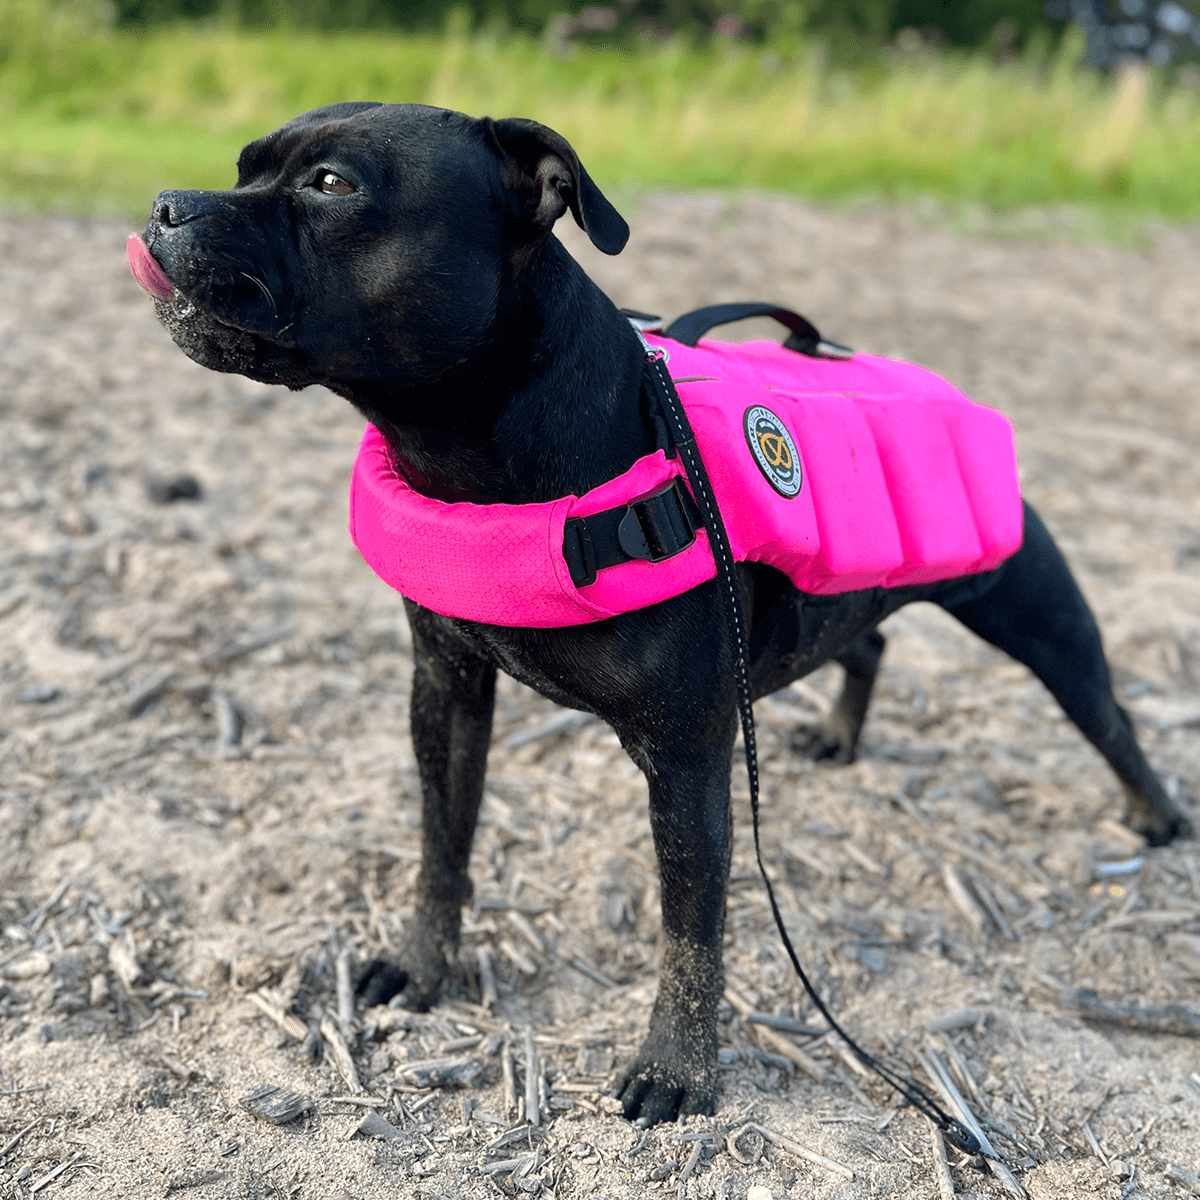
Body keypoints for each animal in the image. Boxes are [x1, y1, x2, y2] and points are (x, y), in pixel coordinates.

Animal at [138, 103, 1190, 1123]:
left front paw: (676, 1069)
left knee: (1104, 710)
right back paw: (842, 734)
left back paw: (1156, 812)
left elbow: (690, 924)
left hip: (1032, 607)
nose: (164, 204)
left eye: (331, 183)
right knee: (869, 637)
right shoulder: (446, 690)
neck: (489, 446)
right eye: (243, 167)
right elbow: (444, 843)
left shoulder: (687, 758)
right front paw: (425, 963)